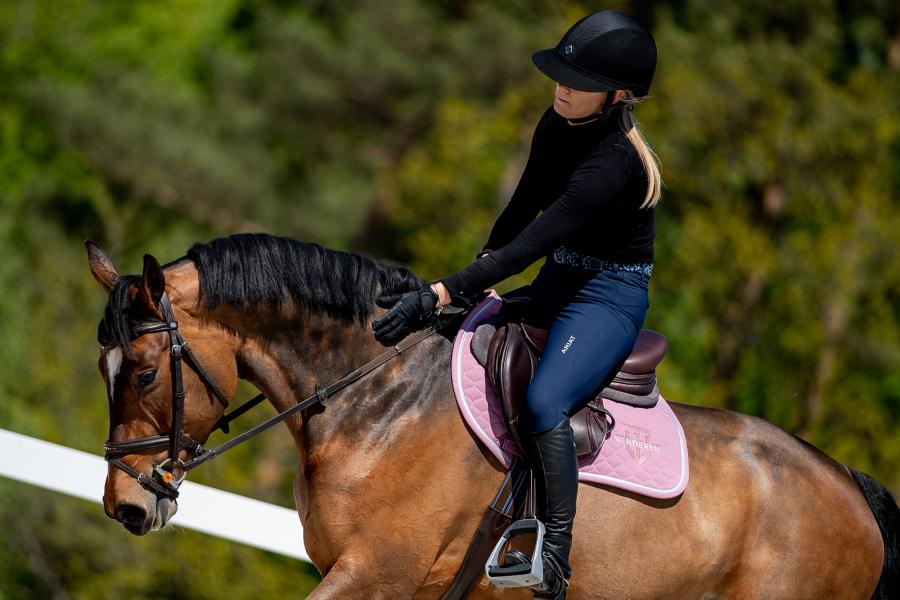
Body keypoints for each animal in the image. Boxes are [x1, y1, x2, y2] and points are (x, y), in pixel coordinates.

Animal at [86, 232, 900, 596]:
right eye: (105, 371)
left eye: (148, 372)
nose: (126, 505)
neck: (376, 402)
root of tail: (848, 486)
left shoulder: (376, 574)